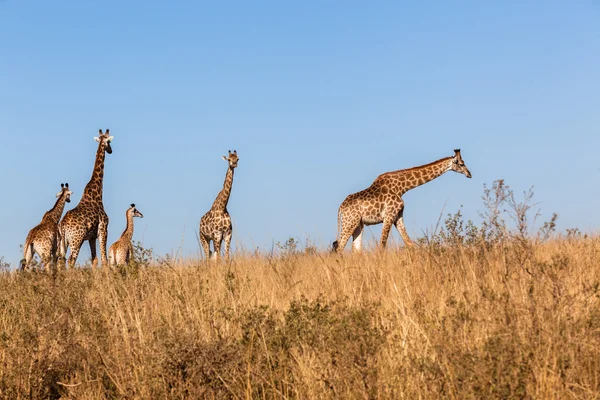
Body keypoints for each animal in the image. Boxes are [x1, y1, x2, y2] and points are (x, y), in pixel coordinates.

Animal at [59, 130, 114, 268]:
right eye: (109, 142)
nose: (111, 150)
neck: (97, 192)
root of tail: (63, 225)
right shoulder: (103, 229)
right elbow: (104, 259)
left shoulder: (92, 237)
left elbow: (94, 260)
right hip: (76, 240)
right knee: (71, 260)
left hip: (63, 242)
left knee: (61, 261)